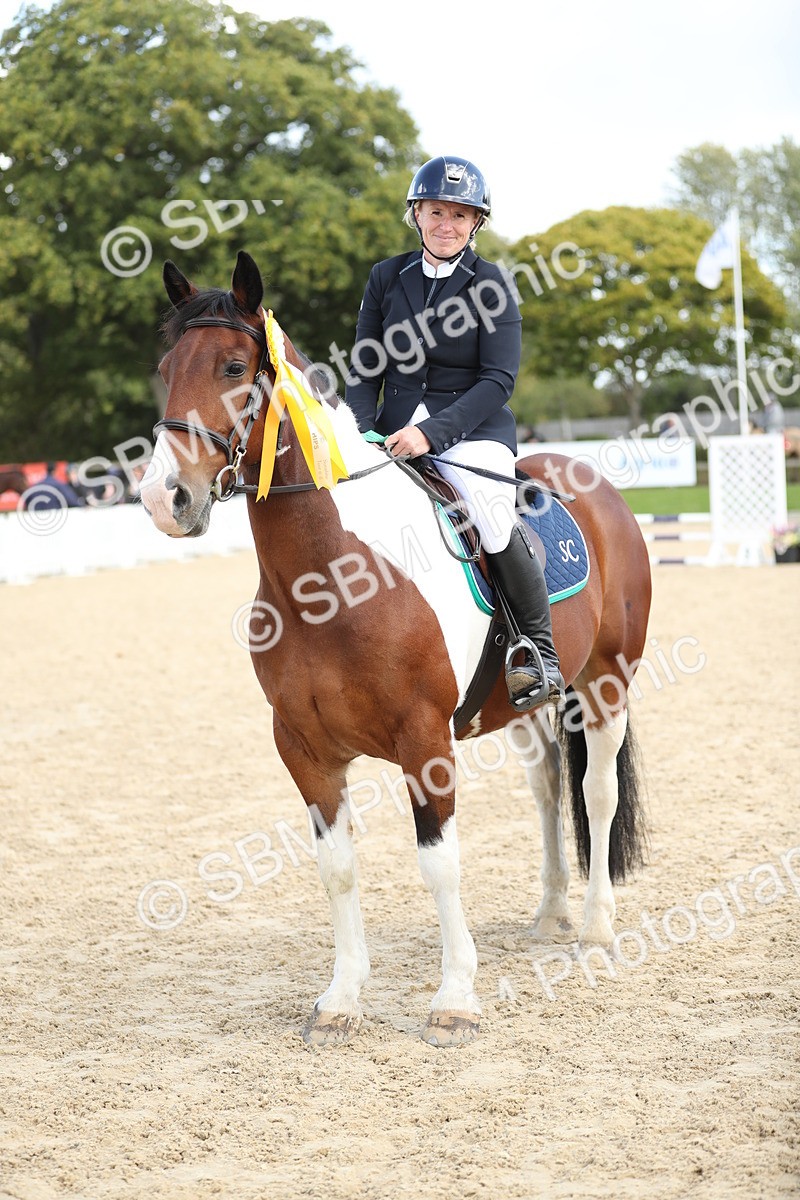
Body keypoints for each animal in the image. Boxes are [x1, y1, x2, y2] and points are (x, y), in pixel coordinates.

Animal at [139, 250, 652, 1048]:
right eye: (166, 367)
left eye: (233, 367)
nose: (166, 499)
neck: (332, 577)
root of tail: (593, 482)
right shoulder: (304, 748)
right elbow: (338, 868)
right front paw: (341, 1000)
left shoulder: (424, 740)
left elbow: (439, 865)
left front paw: (454, 999)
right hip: (528, 702)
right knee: (546, 790)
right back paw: (550, 914)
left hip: (606, 683)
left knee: (597, 792)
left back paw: (597, 926)